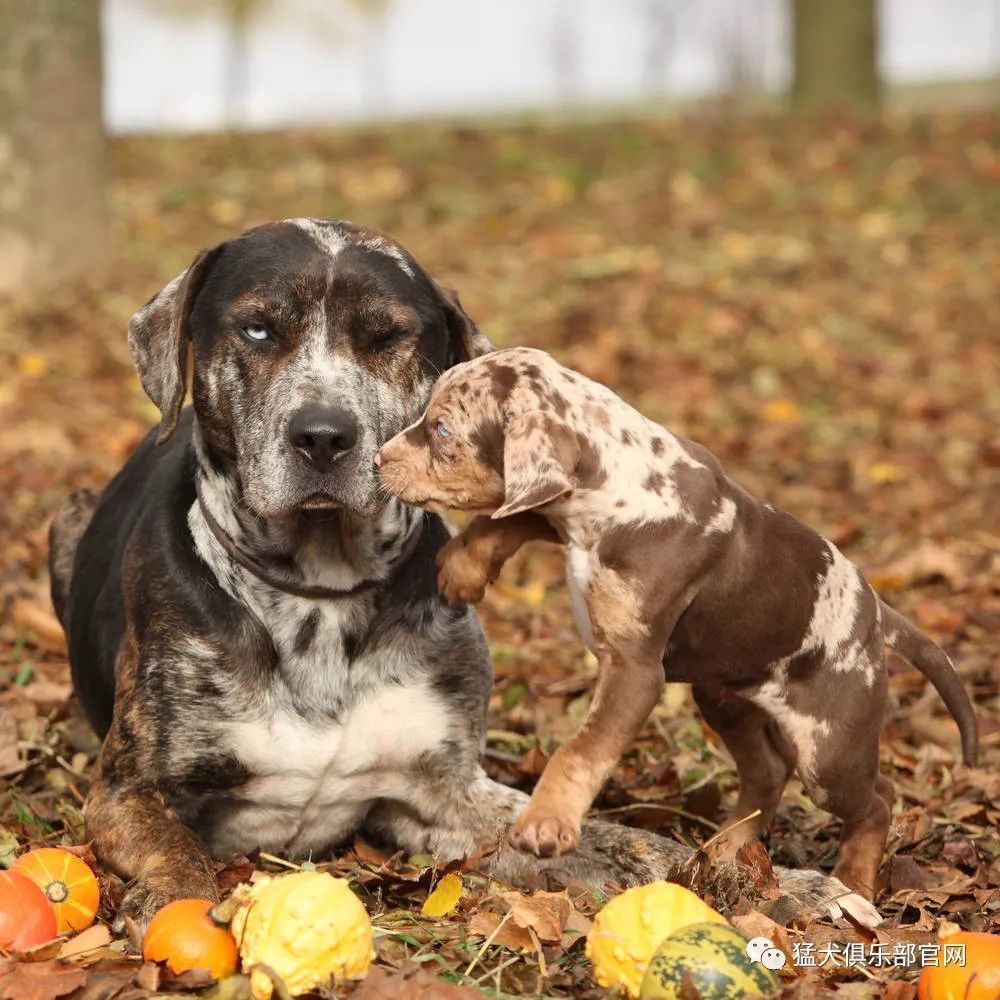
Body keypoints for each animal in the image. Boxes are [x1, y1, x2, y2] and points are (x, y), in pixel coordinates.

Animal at [48, 221, 876, 936]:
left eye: (388, 336)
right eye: (257, 329)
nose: (323, 436)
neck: (318, 591)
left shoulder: (441, 790)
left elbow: (628, 843)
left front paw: (775, 883)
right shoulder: (128, 792)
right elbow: (176, 853)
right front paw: (178, 906)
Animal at [376, 348, 976, 904]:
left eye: (441, 429)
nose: (378, 458)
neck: (617, 488)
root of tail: (878, 615)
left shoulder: (636, 671)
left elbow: (582, 750)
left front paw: (546, 824)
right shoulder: (558, 517)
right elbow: (511, 518)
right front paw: (463, 567)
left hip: (829, 753)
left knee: (876, 801)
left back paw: (852, 883)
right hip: (724, 698)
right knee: (767, 772)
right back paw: (726, 851)